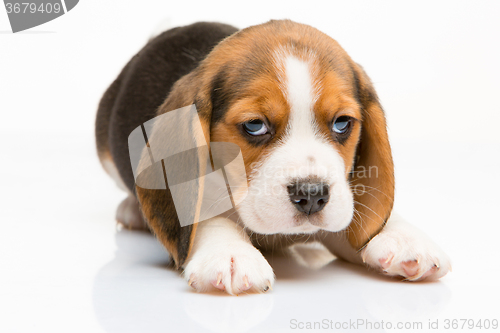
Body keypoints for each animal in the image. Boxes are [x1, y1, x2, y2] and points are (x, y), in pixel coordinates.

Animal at [95, 20, 452, 294]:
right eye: (255, 125)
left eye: (342, 123)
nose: (312, 195)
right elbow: (205, 215)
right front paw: (230, 253)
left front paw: (401, 236)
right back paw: (132, 210)